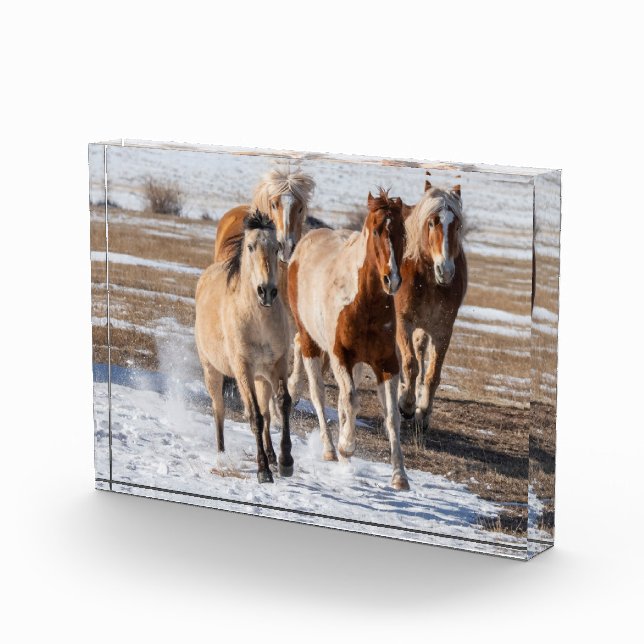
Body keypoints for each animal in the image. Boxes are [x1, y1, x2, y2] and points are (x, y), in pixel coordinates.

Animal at [195, 210, 294, 483]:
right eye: (250, 247)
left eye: (276, 247)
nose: (266, 291)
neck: (258, 321)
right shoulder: (243, 369)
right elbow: (255, 417)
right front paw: (263, 471)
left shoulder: (278, 364)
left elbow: (283, 404)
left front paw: (285, 462)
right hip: (212, 370)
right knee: (219, 409)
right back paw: (221, 455)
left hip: (261, 378)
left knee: (268, 412)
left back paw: (272, 455)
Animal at [287, 189, 409, 490]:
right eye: (377, 230)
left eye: (401, 232)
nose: (392, 280)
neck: (363, 303)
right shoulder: (340, 355)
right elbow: (352, 400)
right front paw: (347, 446)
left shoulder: (386, 364)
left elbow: (391, 416)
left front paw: (400, 476)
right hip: (311, 342)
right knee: (318, 393)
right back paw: (331, 449)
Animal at [395, 179, 467, 431]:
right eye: (431, 222)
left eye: (457, 226)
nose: (445, 271)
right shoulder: (403, 321)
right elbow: (410, 364)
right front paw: (406, 405)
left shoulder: (442, 330)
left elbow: (432, 374)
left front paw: (423, 411)